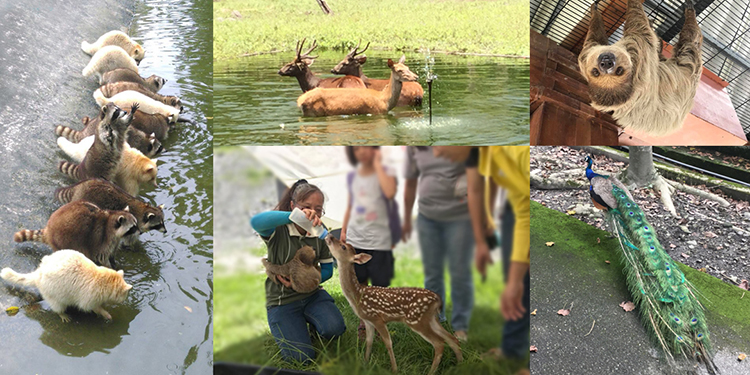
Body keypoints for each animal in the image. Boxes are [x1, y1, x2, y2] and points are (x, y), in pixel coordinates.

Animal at [1, 250, 132, 324]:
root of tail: (39, 273)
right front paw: (105, 313)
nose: (124, 300)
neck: (106, 279)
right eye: (125, 294)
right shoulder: (89, 296)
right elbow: (90, 307)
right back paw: (62, 314)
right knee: (58, 305)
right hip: (52, 292)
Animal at [324, 235, 462, 375]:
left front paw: (394, 369)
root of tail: (438, 299)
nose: (330, 236)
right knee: (452, 339)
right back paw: (460, 364)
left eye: (343, 246)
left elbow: (388, 343)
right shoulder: (368, 321)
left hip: (417, 320)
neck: (358, 296)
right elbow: (369, 342)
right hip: (431, 319)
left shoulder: (377, 318)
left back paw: (432, 371)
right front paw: (365, 362)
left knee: (439, 343)